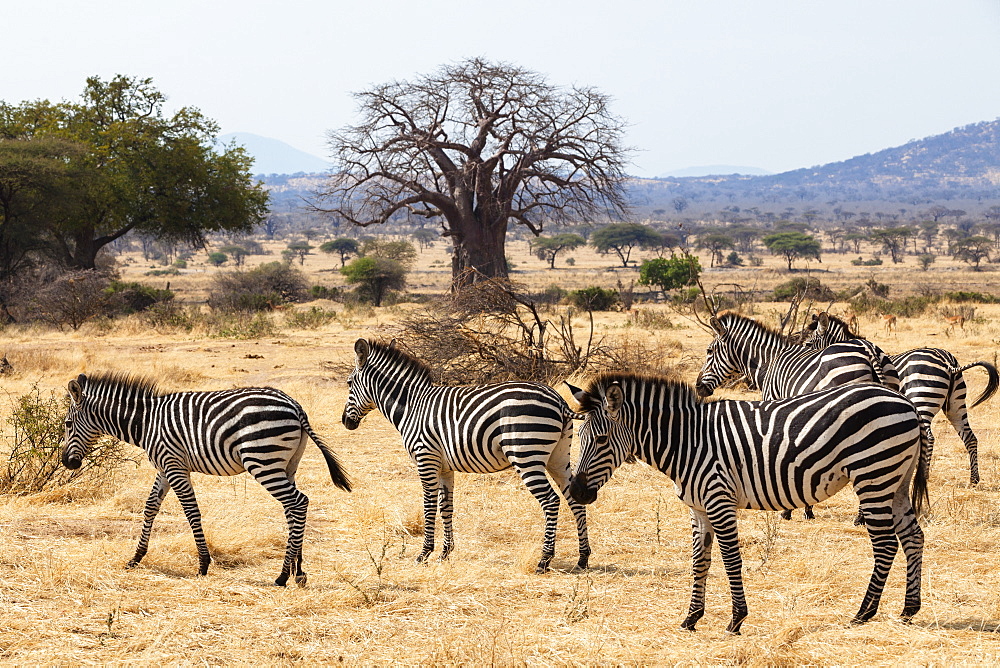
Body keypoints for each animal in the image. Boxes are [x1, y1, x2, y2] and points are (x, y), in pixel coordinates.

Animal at [61, 374, 352, 588]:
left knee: (298, 502)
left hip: (261, 460)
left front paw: (202, 564)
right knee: (293, 508)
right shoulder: (165, 467)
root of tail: (294, 405)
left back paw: (282, 575)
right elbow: (150, 507)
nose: (67, 463)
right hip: (287, 465)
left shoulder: (174, 465)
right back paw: (297, 571)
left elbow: (191, 512)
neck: (145, 423)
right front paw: (136, 558)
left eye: (66, 424)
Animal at [340, 340, 588, 576]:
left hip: (526, 455)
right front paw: (445, 553)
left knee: (551, 500)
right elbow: (446, 507)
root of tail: (559, 400)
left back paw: (544, 561)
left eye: (349, 383)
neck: (412, 407)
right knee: (574, 498)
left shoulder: (425, 459)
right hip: (557, 457)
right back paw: (583, 558)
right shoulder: (444, 467)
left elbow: (429, 506)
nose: (345, 421)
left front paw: (424, 554)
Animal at [568, 374, 924, 636]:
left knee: (886, 545)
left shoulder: (719, 499)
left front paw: (736, 620)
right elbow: (700, 561)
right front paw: (691, 618)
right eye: (578, 436)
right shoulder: (698, 507)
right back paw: (908, 610)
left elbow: (730, 561)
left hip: (874, 475)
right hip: (896, 480)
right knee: (913, 537)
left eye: (600, 440)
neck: (688, 443)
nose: (576, 492)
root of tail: (903, 400)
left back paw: (864, 612)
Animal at [796, 310, 1000, 482]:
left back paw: (923, 475)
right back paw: (974, 479)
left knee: (929, 437)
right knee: (970, 437)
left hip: (922, 399)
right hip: (956, 403)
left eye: (808, 344)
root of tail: (948, 362)